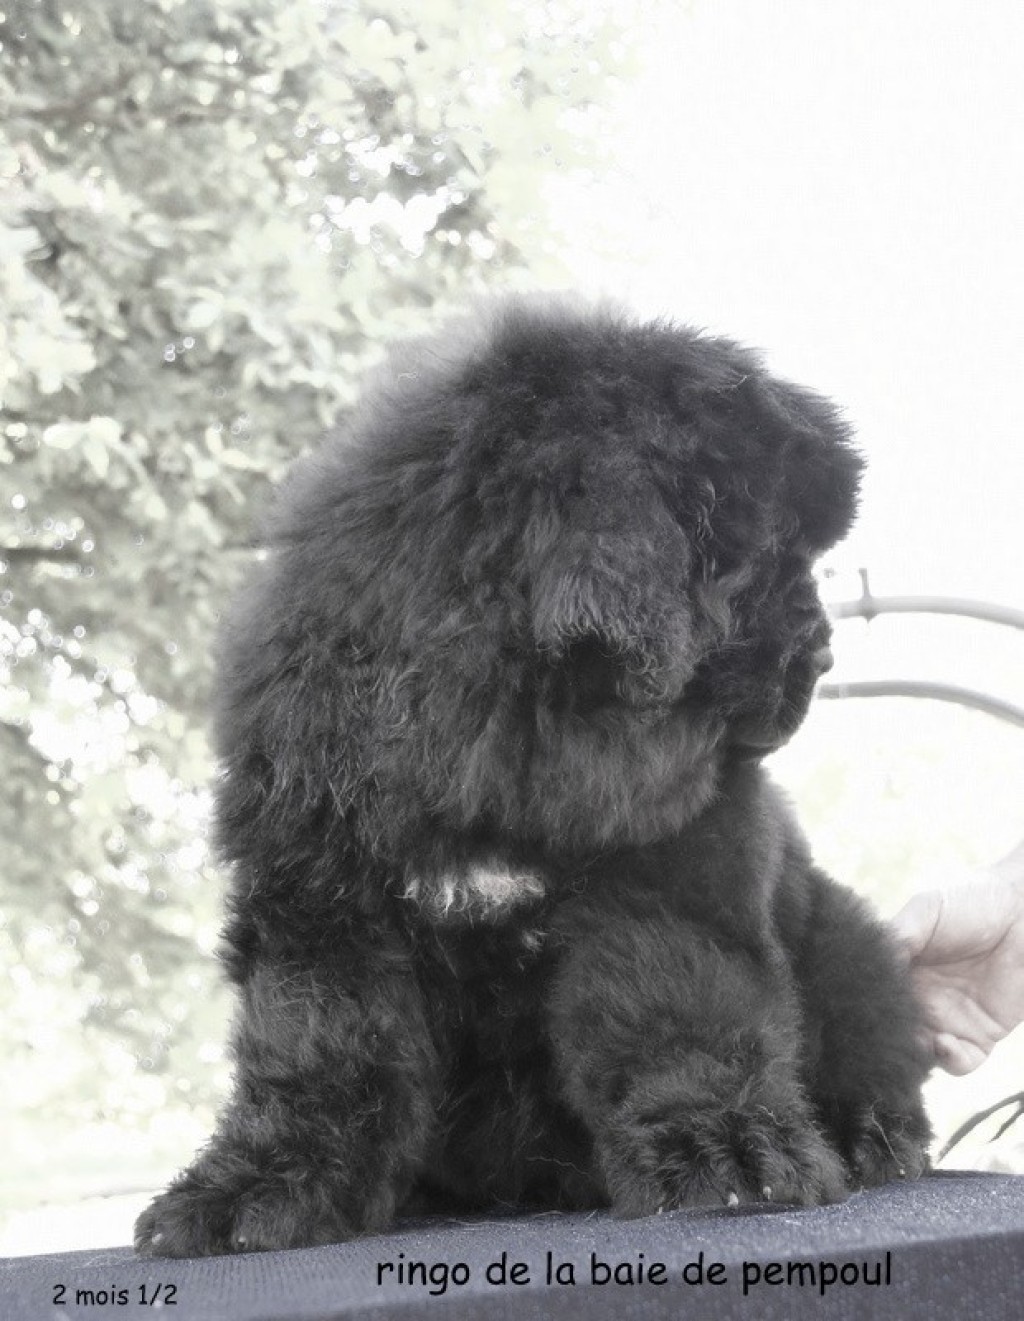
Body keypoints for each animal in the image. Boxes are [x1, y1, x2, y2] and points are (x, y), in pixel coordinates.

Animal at [136, 295, 931, 1256]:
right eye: (767, 559)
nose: (821, 653)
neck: (501, 738)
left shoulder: (666, 883)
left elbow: (679, 1009)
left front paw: (729, 1149)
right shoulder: (321, 904)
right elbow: (315, 1049)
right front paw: (252, 1188)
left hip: (849, 942)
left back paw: (872, 1139)